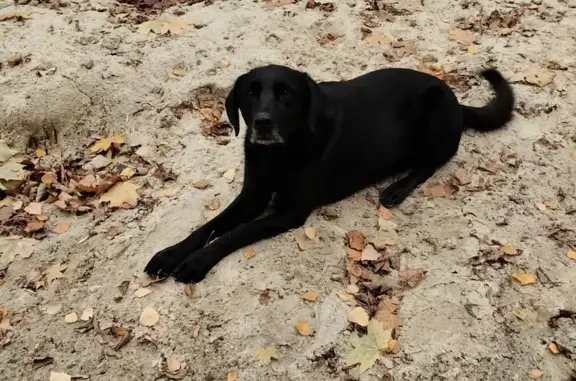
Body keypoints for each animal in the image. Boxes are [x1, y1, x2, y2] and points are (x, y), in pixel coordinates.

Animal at [146, 63, 516, 282]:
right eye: (251, 92)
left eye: (286, 93)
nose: (262, 123)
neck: (278, 154)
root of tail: (457, 101)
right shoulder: (252, 196)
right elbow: (209, 226)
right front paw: (170, 254)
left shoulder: (290, 213)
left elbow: (235, 233)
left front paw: (196, 262)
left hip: (434, 111)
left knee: (429, 165)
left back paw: (397, 188)